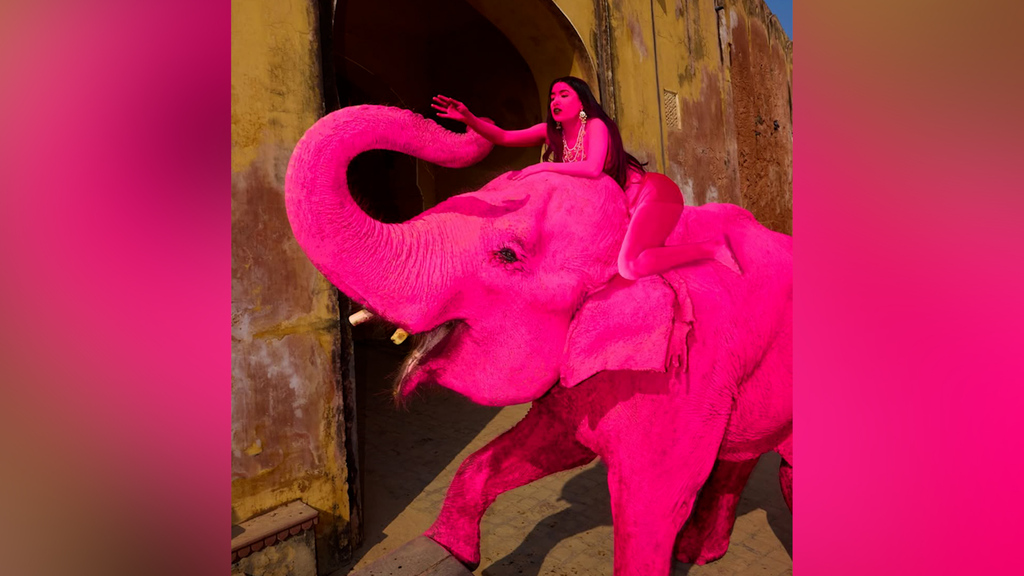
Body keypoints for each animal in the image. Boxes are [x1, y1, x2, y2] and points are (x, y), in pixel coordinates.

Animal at [285, 105, 792, 576]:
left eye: (507, 255)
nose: (460, 117)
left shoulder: (684, 375)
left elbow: (652, 506)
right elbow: (534, 448)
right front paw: (448, 553)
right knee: (741, 457)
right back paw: (701, 553)